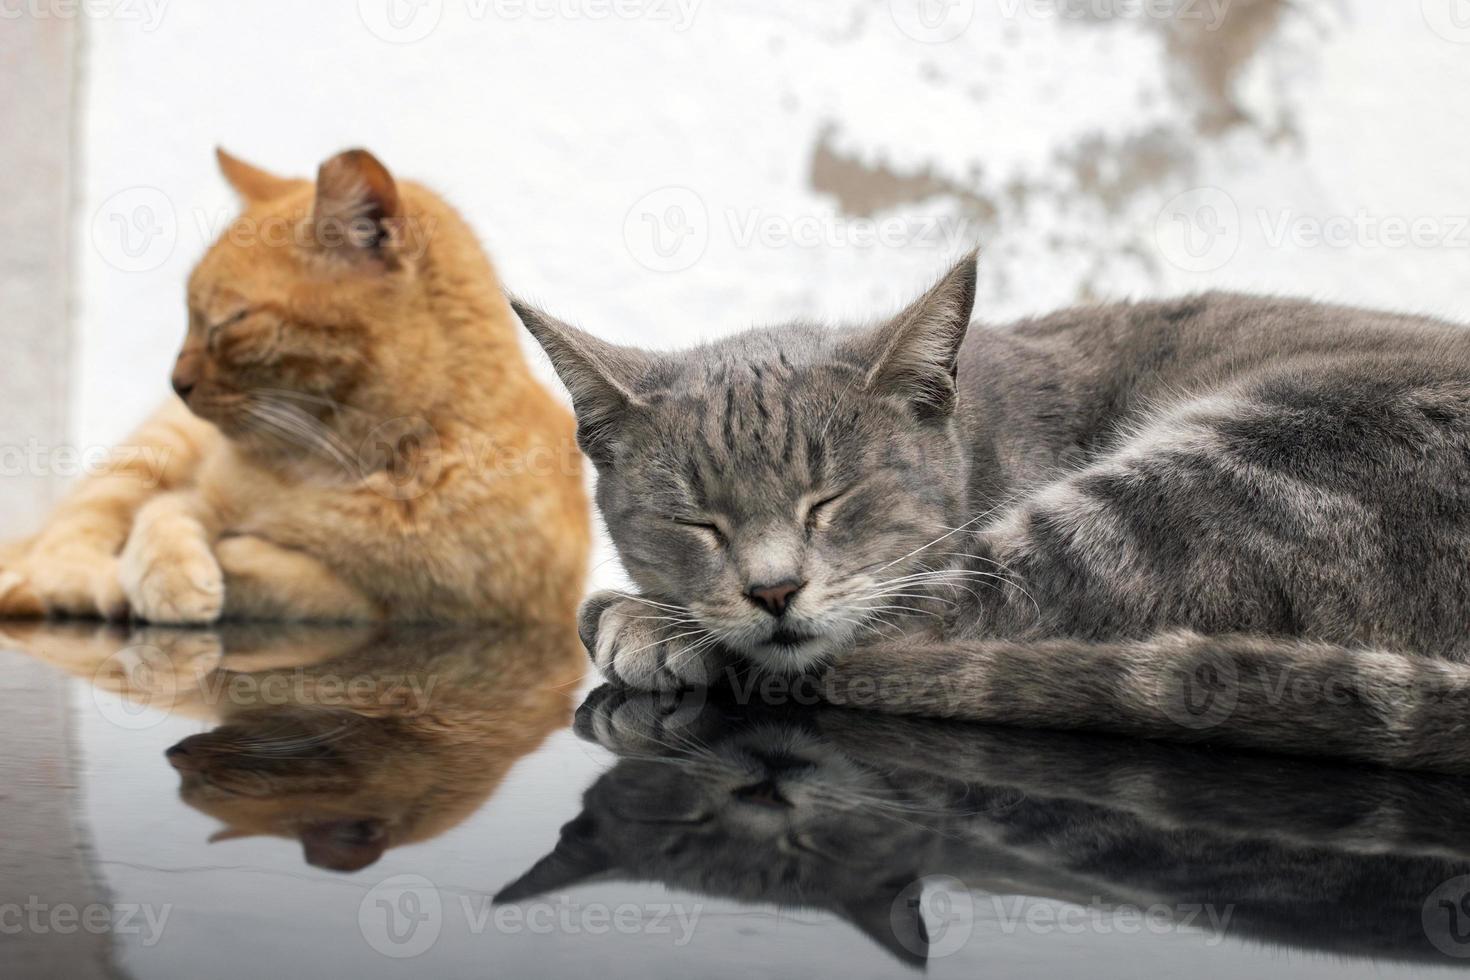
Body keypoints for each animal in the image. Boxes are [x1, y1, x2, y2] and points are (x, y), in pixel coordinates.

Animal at [5, 151, 590, 628]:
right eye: (189, 317)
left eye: (229, 321)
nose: (176, 381)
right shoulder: (196, 494)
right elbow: (164, 517)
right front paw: (171, 579)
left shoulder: (447, 608)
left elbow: (316, 585)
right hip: (150, 453)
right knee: (55, 556)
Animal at [517, 257, 1470, 775]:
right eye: (698, 522)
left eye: (834, 498)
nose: (774, 590)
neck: (980, 432)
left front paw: (644, 619)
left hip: (1214, 466)